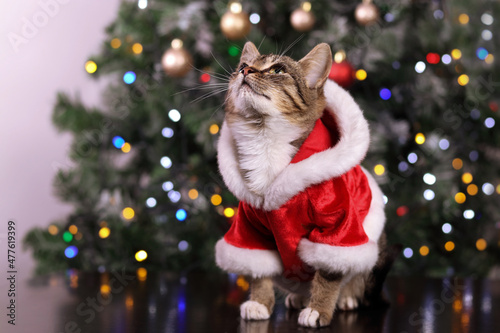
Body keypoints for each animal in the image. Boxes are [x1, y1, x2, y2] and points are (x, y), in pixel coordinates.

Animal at [215, 41, 394, 326]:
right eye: (243, 65)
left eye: (277, 70)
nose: (246, 71)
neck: (266, 141)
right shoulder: (249, 226)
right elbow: (257, 269)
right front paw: (260, 302)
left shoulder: (336, 224)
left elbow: (330, 272)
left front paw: (319, 309)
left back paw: (345, 298)